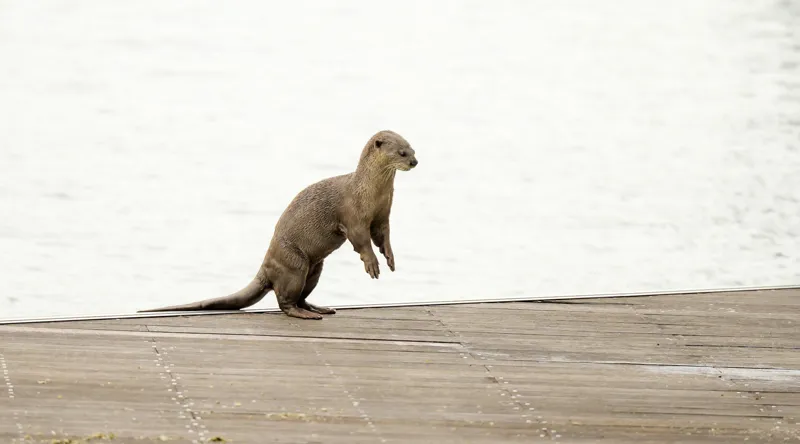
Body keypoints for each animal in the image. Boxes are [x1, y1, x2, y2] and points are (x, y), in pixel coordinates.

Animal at [138, 130, 418, 320]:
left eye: (413, 149)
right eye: (401, 152)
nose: (414, 162)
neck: (370, 191)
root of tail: (266, 267)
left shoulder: (382, 215)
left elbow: (383, 236)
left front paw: (390, 257)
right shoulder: (353, 216)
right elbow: (361, 241)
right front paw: (372, 264)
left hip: (314, 269)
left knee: (301, 296)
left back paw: (318, 308)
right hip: (295, 265)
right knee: (284, 301)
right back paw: (305, 313)